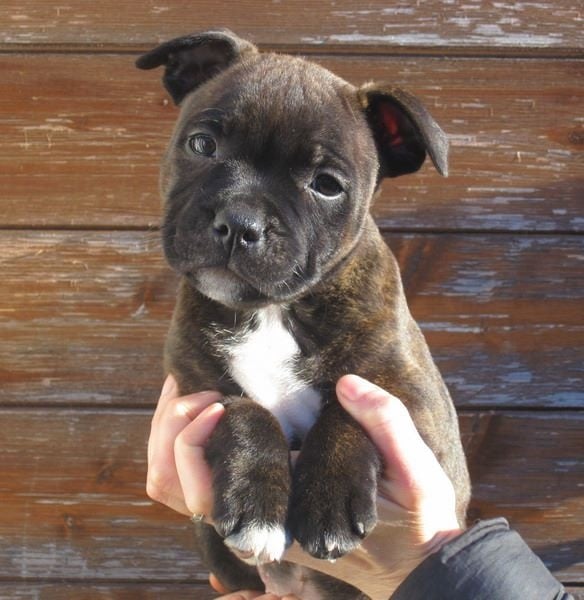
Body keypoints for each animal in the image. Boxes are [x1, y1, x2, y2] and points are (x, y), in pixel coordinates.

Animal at [137, 29, 471, 599]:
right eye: (202, 145)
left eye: (327, 185)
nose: (240, 221)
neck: (274, 310)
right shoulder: (197, 392)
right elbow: (247, 410)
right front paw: (257, 507)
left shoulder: (419, 406)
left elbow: (348, 410)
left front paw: (330, 504)